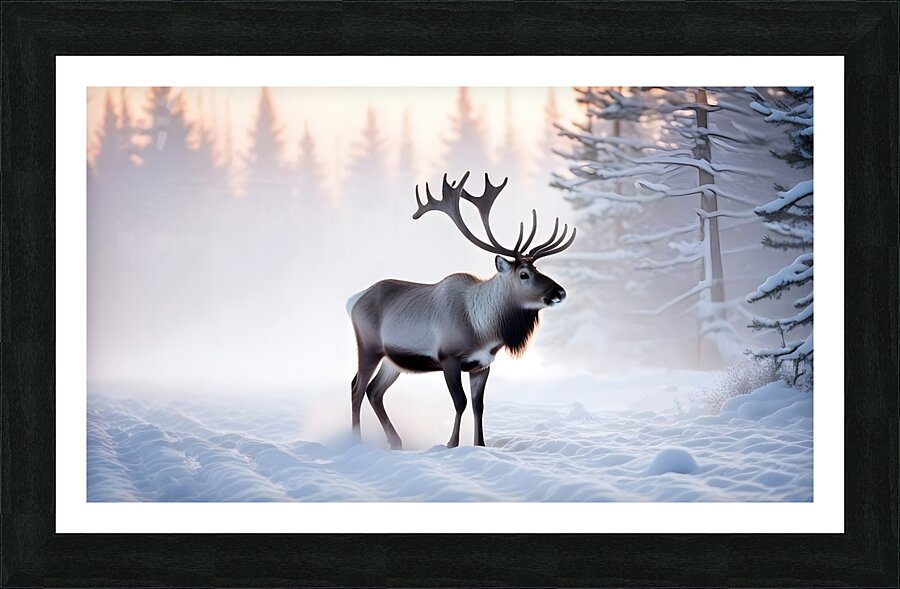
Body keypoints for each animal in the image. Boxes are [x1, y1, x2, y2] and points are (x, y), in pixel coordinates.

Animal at [346, 172, 576, 450]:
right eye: (524, 274)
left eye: (538, 269)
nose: (560, 292)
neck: (483, 329)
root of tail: (353, 300)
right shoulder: (449, 357)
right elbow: (460, 402)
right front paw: (451, 444)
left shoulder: (482, 364)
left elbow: (479, 405)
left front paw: (480, 445)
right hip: (369, 347)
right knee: (357, 387)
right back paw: (355, 440)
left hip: (394, 360)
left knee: (375, 391)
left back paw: (396, 442)